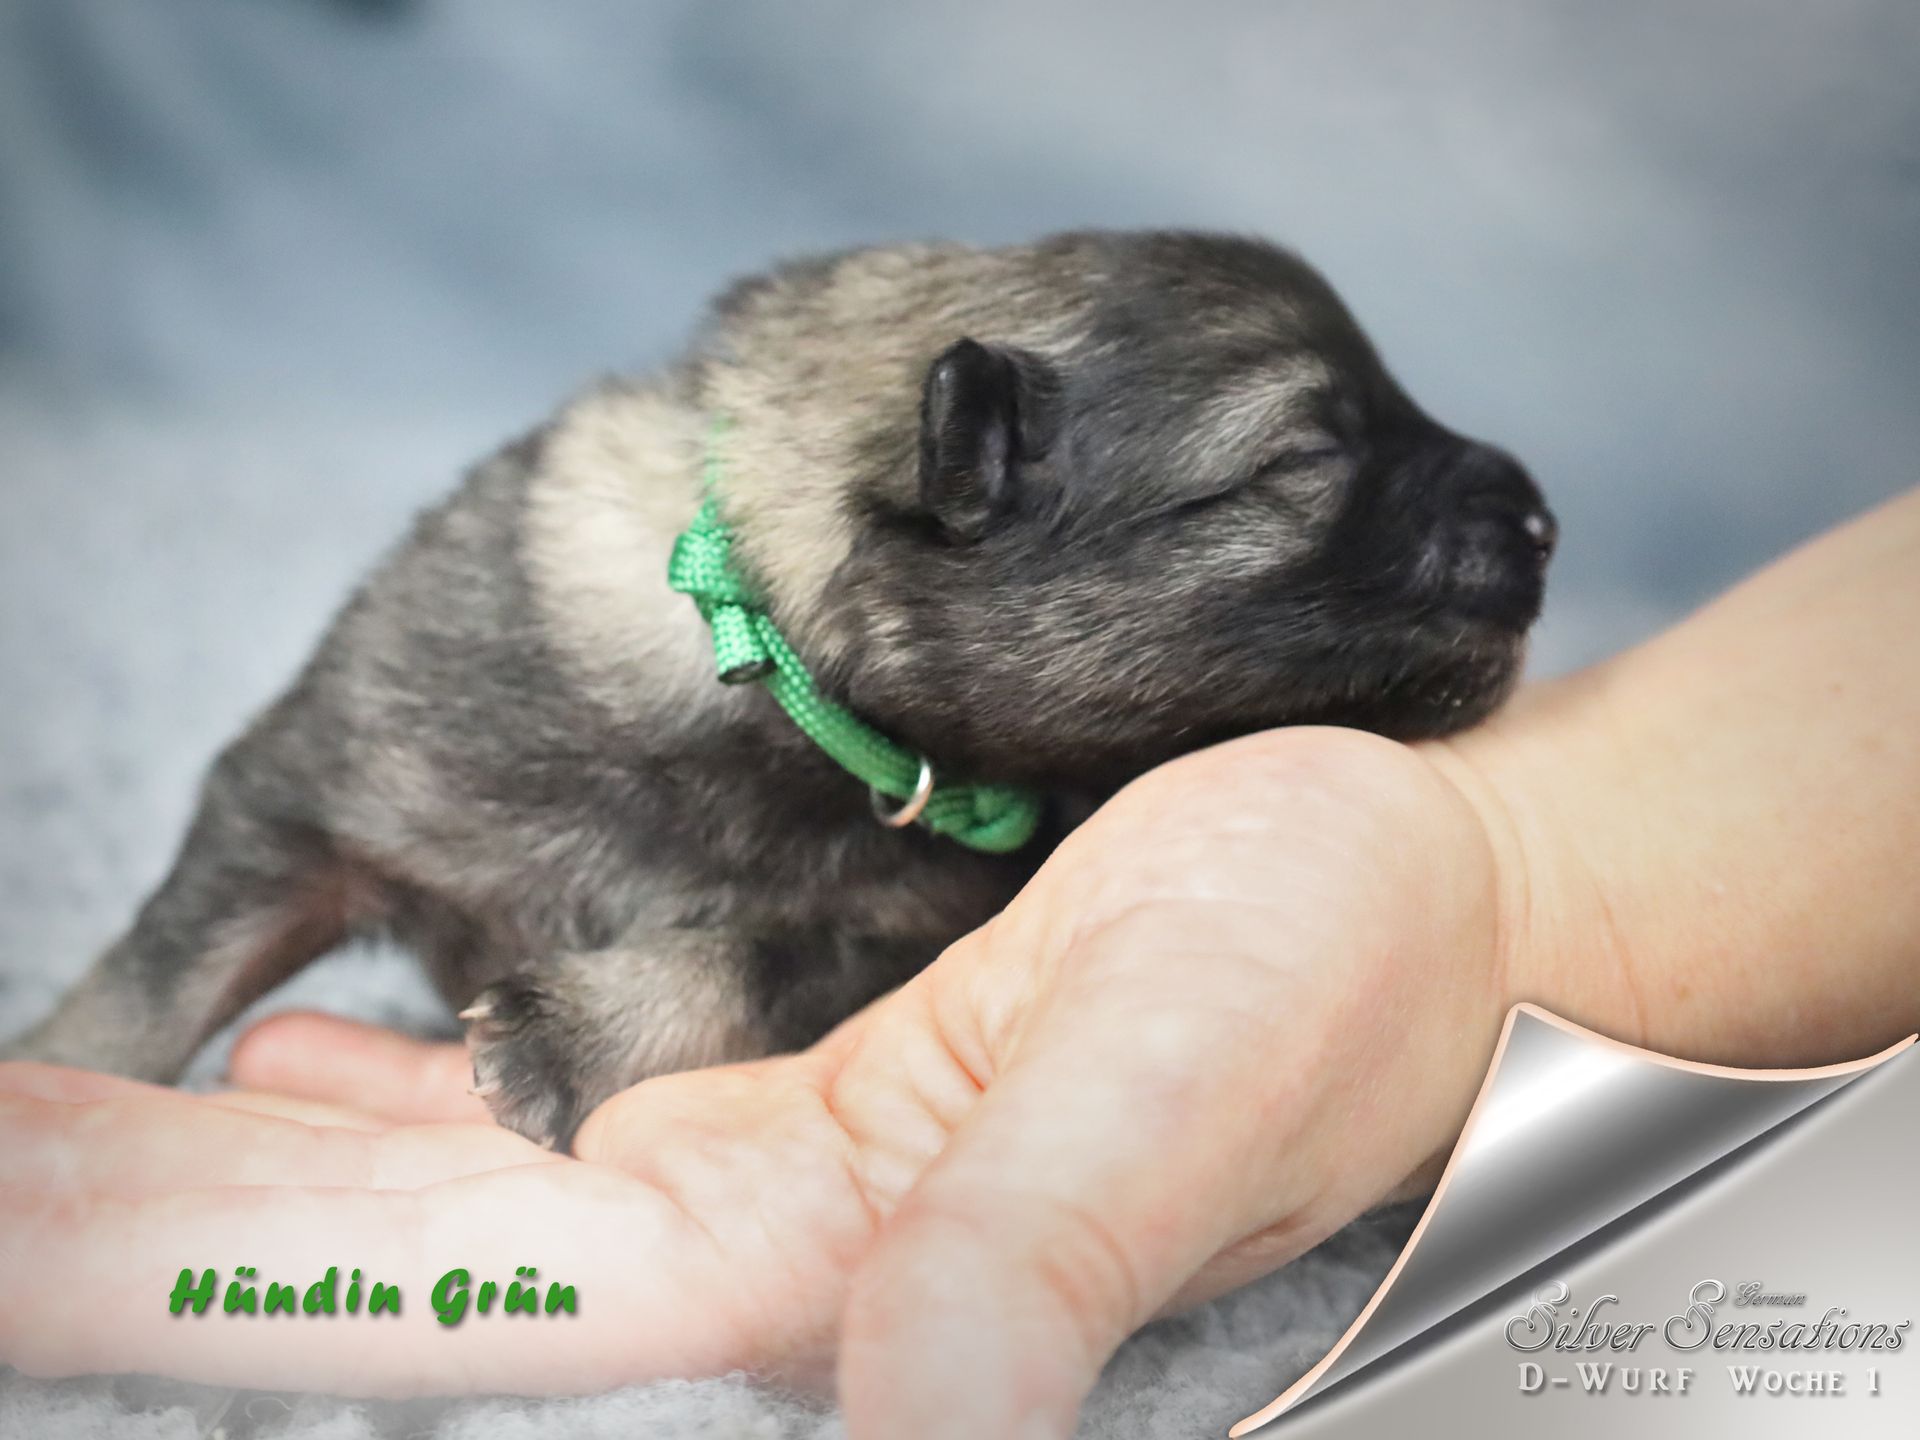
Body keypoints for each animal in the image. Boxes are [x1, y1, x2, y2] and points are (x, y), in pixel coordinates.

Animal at [3, 230, 1556, 1147]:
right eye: (1306, 458)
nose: (1543, 519)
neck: (774, 667)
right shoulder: (318, 790)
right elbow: (163, 968)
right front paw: (51, 1075)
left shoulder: (900, 935)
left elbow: (748, 958)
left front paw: (576, 1036)